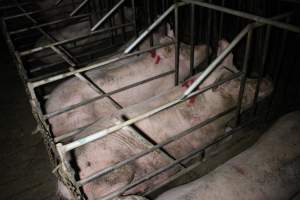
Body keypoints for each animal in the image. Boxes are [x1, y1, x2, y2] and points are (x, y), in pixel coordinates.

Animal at [56, 39, 274, 199]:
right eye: (239, 83)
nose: (268, 80)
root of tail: (63, 183)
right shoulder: (206, 136)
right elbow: (218, 140)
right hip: (113, 171)